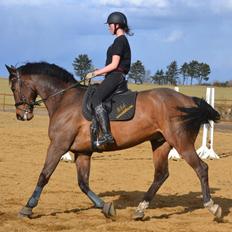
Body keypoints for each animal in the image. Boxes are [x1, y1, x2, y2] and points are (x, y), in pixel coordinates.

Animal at [5, 62, 223, 221]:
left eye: (14, 87)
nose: (21, 115)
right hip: (160, 143)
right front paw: (106, 207)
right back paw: (140, 210)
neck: (64, 100)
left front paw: (27, 208)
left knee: (201, 168)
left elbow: (44, 175)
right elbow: (83, 183)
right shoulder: (82, 152)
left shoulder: (58, 146)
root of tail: (189, 100)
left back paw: (212, 207)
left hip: (181, 143)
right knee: (161, 175)